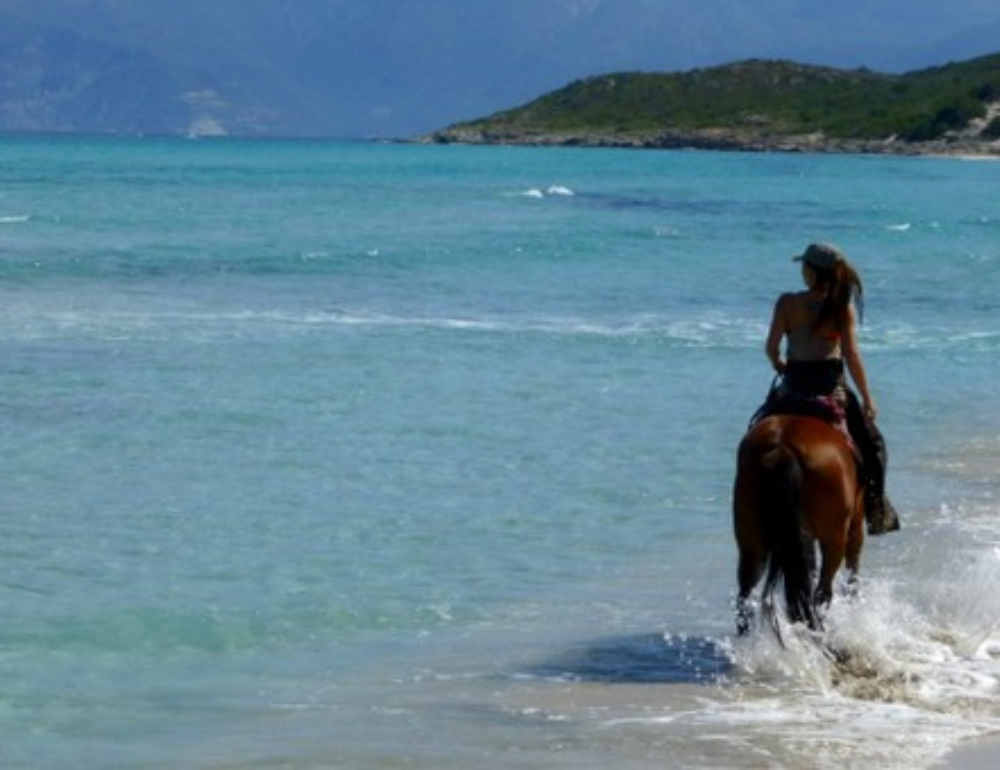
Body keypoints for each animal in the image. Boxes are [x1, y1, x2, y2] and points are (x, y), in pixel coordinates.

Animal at [732, 414, 864, 636]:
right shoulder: (854, 526)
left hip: (750, 538)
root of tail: (781, 447)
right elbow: (852, 573)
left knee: (745, 595)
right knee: (822, 593)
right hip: (834, 538)